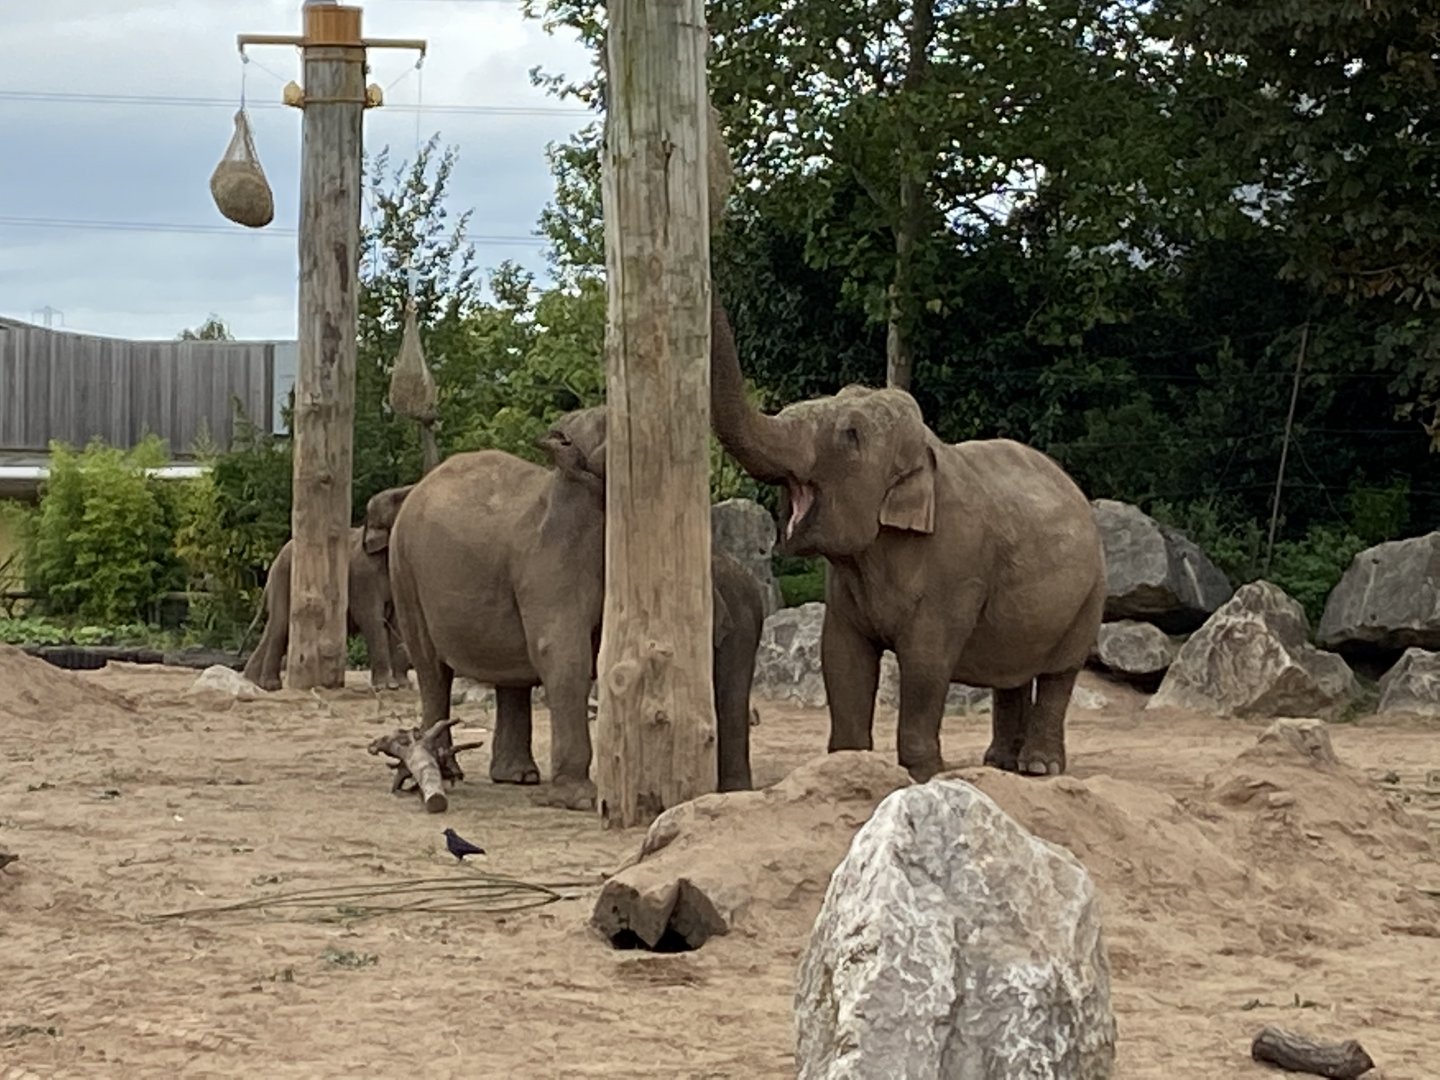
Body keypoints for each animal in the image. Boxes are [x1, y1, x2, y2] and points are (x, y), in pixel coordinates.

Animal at [242, 485, 415, 692]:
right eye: (398, 498)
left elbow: (397, 621)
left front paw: (402, 685)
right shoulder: (363, 574)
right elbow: (371, 617)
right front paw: (384, 686)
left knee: (273, 629)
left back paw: (251, 680)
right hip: (283, 576)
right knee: (280, 625)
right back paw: (270, 685)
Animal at [384, 405, 766, 810]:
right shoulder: (551, 558)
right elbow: (562, 652)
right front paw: (581, 800)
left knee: (509, 673)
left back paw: (517, 777)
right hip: (403, 571)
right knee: (432, 668)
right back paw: (448, 773)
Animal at [707, 291, 1106, 780]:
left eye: (851, 435)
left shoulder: (956, 563)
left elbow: (926, 660)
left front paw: (922, 775)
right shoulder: (844, 585)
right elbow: (841, 655)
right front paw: (846, 767)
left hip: (1090, 595)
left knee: (1059, 672)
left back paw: (1038, 768)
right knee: (1009, 673)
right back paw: (999, 764)